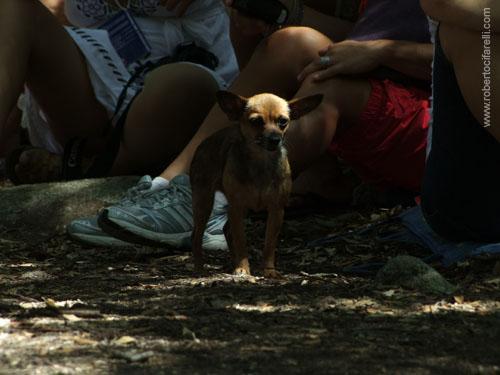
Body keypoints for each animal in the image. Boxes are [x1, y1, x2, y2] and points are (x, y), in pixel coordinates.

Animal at [189, 90, 322, 278]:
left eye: (283, 121)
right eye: (256, 121)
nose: (275, 139)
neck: (261, 162)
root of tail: (204, 142)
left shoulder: (276, 210)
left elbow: (269, 244)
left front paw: (268, 270)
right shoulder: (237, 208)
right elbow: (241, 241)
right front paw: (243, 268)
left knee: (227, 230)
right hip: (204, 202)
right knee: (196, 235)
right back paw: (200, 267)